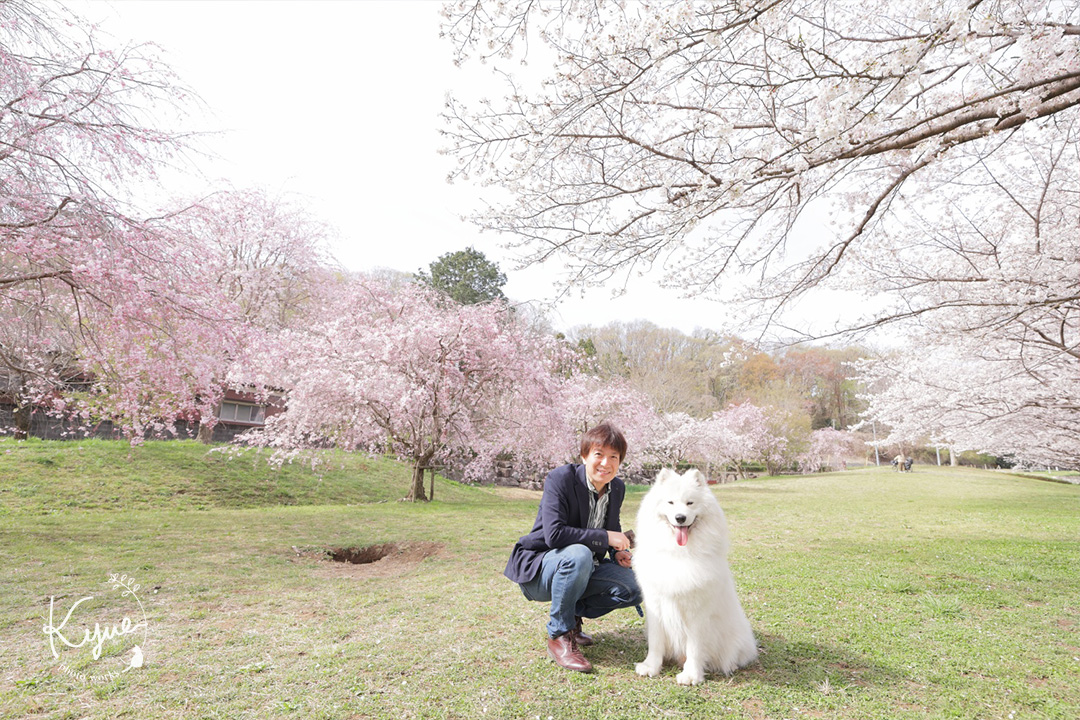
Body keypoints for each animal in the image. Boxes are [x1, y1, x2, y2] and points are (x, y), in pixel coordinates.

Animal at [632, 468, 758, 685]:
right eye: (670, 502)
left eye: (690, 503)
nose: (680, 518)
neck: (678, 552)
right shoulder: (655, 604)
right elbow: (656, 641)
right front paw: (650, 667)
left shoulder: (696, 612)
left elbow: (695, 647)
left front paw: (691, 675)